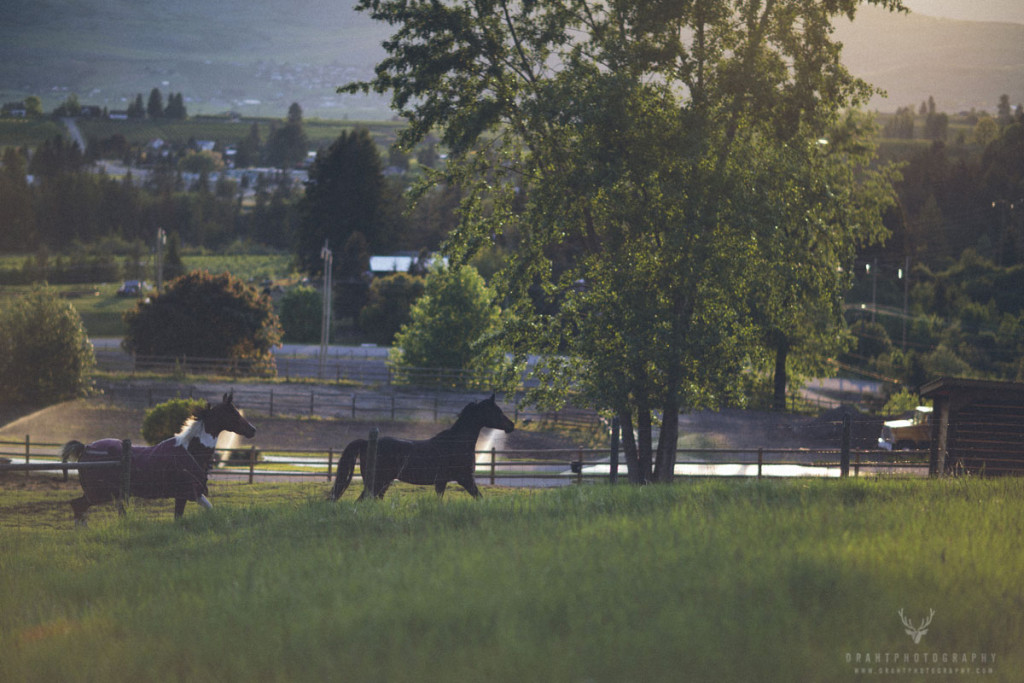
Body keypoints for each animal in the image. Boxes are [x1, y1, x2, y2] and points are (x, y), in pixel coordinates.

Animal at [60, 393, 256, 528]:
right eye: (234, 413)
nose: (252, 430)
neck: (190, 450)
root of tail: (85, 447)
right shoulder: (189, 492)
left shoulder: (187, 494)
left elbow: (201, 511)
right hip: (100, 493)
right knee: (78, 506)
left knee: (80, 507)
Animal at [331, 395, 516, 501]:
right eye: (497, 411)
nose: (511, 425)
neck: (456, 443)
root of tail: (366, 443)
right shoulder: (466, 479)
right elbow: (480, 498)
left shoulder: (442, 482)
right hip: (376, 482)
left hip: (382, 484)